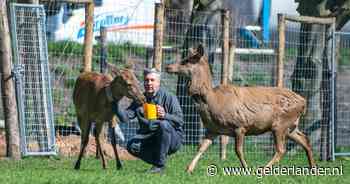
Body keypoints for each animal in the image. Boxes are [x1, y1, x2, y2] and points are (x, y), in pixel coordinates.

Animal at [165, 44, 316, 172]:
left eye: (187, 61)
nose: (168, 67)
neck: (213, 100)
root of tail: (303, 102)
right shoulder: (213, 129)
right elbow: (201, 147)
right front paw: (188, 169)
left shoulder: (240, 125)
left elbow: (238, 150)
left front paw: (246, 168)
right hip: (291, 126)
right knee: (305, 140)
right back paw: (313, 168)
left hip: (280, 124)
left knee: (281, 149)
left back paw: (263, 170)